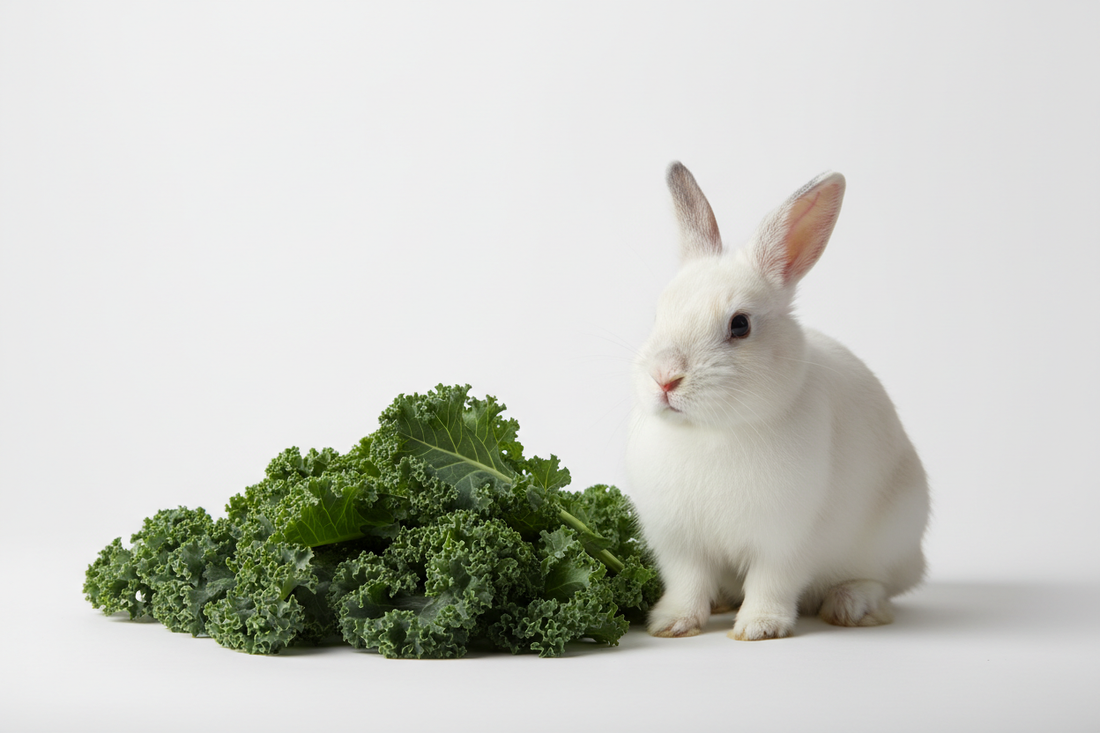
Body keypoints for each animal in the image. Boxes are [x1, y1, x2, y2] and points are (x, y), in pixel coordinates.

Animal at [625, 162, 929, 641]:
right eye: (658, 314)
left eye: (740, 325)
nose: (665, 378)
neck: (711, 432)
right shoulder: (680, 543)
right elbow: (687, 583)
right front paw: (672, 623)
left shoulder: (787, 540)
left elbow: (771, 582)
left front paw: (758, 627)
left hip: (893, 537)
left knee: (882, 583)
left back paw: (850, 606)